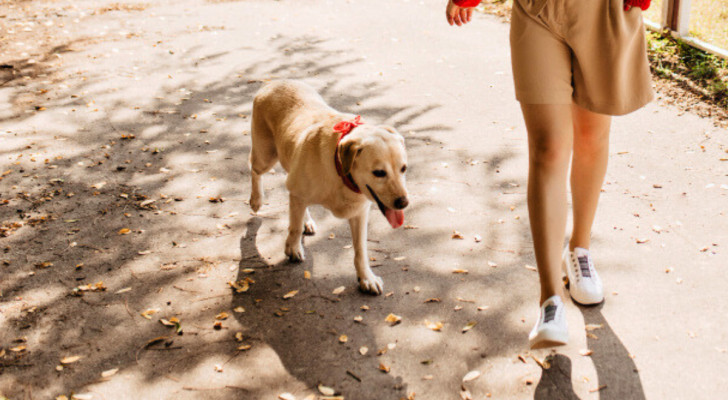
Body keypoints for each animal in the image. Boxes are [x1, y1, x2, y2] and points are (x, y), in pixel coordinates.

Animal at [249, 80, 410, 294]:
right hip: (265, 156)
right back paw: (256, 200)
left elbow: (360, 250)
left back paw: (306, 220)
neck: (340, 171)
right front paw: (293, 247)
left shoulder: (360, 213)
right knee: (254, 169)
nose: (403, 203)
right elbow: (294, 228)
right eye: (379, 173)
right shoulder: (298, 191)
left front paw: (366, 277)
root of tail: (274, 82)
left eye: (403, 168)